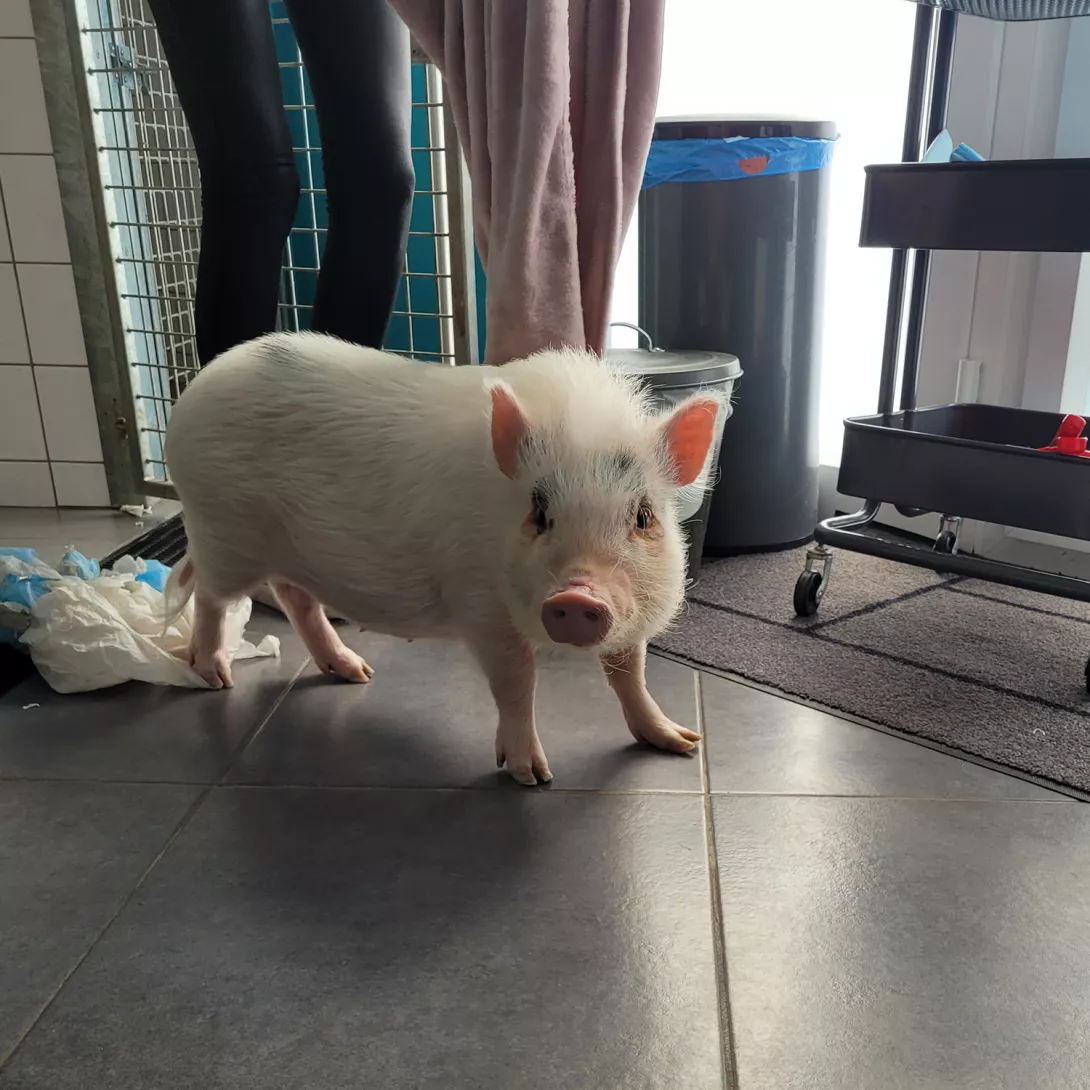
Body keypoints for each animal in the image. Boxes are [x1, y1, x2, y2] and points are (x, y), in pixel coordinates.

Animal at [164, 332, 722, 785]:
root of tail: (200, 384)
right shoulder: (480, 606)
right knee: (211, 596)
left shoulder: (633, 615)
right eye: (539, 513)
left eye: (644, 516)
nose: (579, 597)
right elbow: (517, 681)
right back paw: (213, 676)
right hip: (224, 533)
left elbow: (630, 674)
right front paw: (533, 777)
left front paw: (682, 743)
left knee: (293, 596)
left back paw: (355, 672)